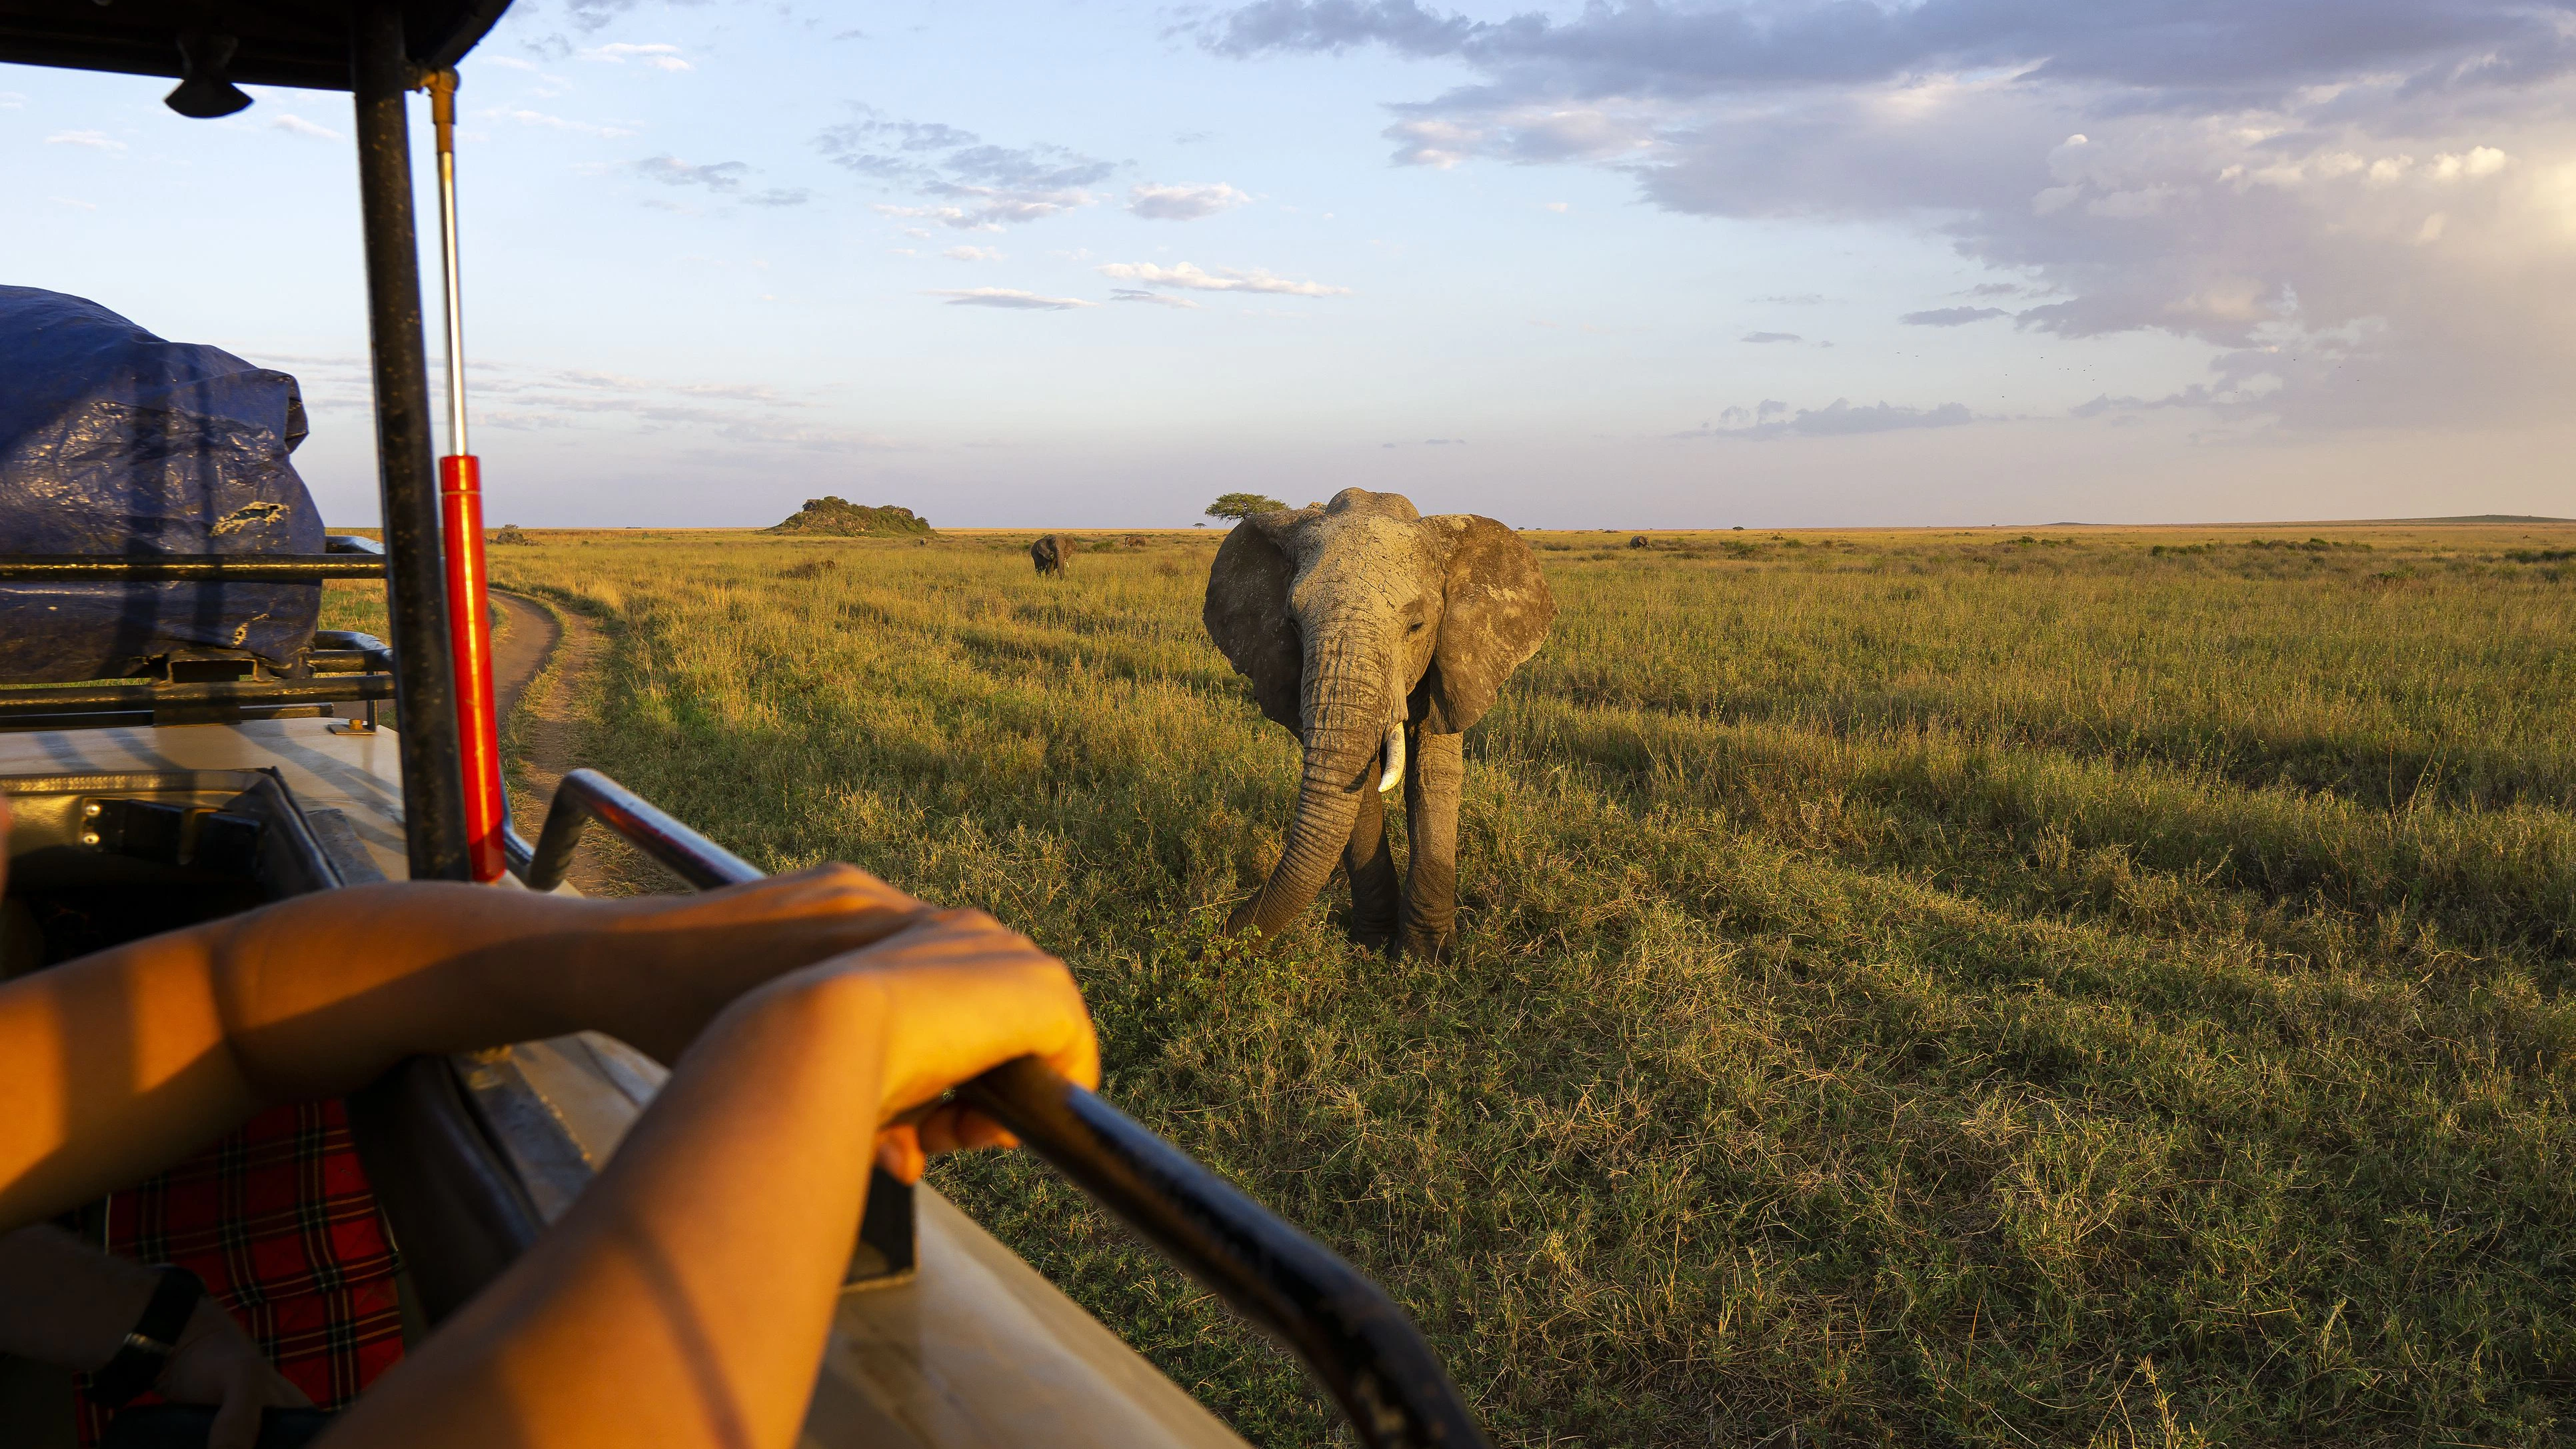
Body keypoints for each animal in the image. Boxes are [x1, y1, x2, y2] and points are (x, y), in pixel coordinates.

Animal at [1204, 487, 1555, 960]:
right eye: (1292, 624)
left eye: (1417, 625)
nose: (1211, 939)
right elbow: (1361, 784)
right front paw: (1374, 943)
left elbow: (1431, 773)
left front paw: (1426, 957)